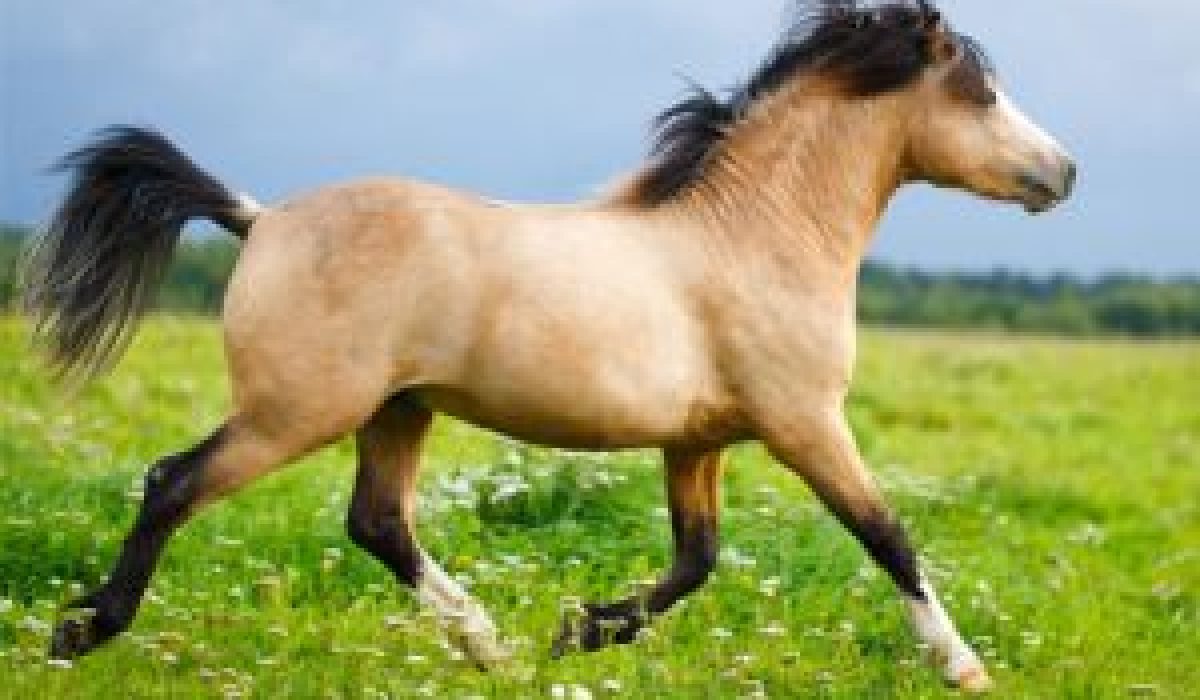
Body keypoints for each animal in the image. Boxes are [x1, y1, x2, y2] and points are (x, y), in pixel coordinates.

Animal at [23, 0, 1074, 692]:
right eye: (982, 91)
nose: (1064, 172)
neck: (751, 238)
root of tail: (262, 218)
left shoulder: (696, 443)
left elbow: (696, 562)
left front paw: (580, 631)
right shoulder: (805, 424)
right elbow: (886, 535)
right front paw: (964, 667)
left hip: (395, 411)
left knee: (378, 522)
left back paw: (489, 646)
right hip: (297, 412)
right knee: (174, 483)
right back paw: (80, 632)